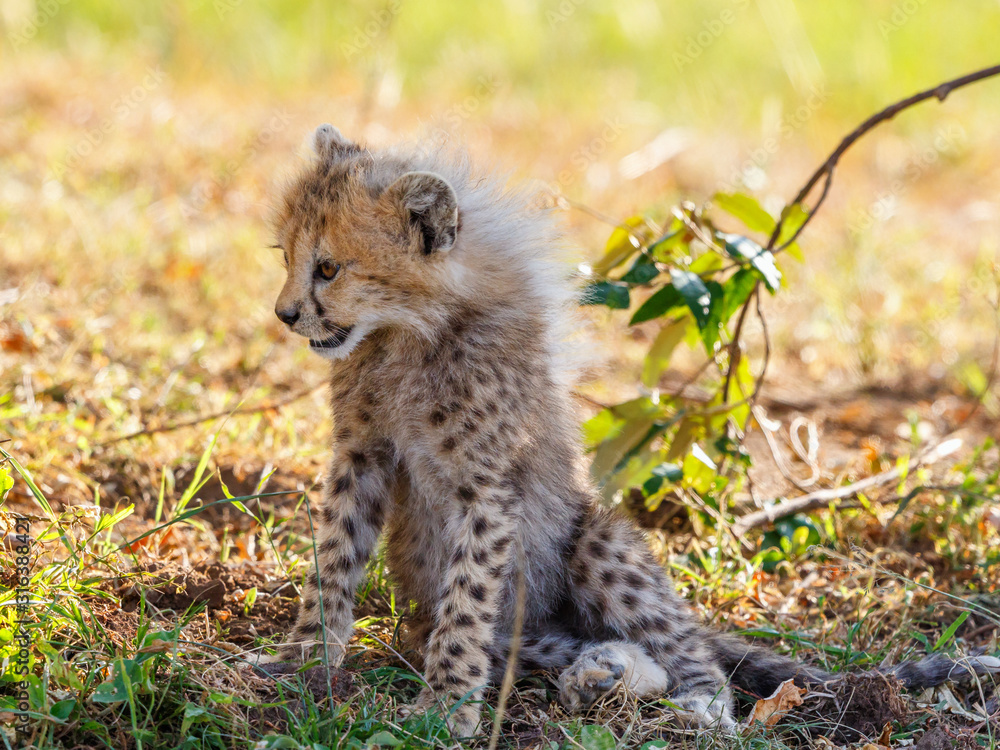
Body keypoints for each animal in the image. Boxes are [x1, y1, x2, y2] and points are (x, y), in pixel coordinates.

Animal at [263, 123, 997, 737]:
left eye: (328, 267)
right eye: (286, 255)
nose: (285, 314)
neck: (406, 332)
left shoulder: (487, 487)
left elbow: (466, 603)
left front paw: (445, 707)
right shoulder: (361, 453)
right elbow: (334, 558)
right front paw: (301, 660)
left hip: (596, 540)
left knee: (686, 651)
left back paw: (698, 704)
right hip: (524, 630)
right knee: (600, 651)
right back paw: (601, 674)